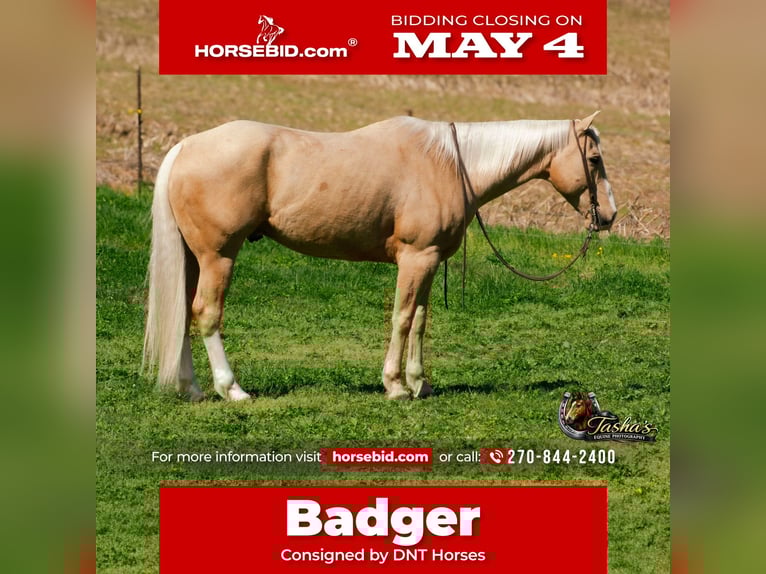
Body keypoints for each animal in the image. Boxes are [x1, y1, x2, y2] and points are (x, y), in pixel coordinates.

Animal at [143, 113, 617, 401]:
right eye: (594, 159)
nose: (609, 216)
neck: (448, 164)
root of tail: (186, 147)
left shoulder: (429, 262)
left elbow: (422, 320)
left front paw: (419, 382)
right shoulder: (415, 259)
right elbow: (402, 318)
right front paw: (395, 385)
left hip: (194, 258)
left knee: (183, 312)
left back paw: (192, 388)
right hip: (219, 256)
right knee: (207, 314)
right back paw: (232, 388)